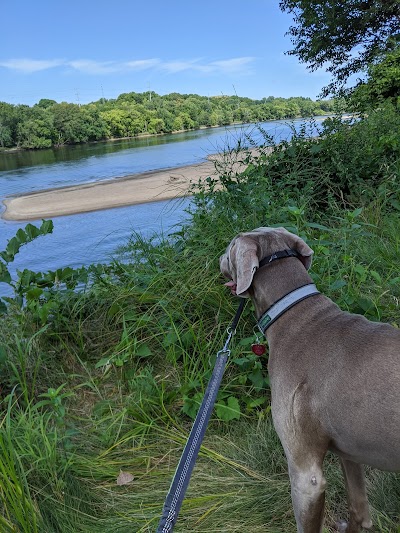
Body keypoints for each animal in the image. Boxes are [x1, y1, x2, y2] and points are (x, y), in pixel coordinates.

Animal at [220, 228, 398, 532]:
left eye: (231, 246)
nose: (219, 259)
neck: (295, 314)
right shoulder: (348, 451)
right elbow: (358, 509)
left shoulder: (306, 477)